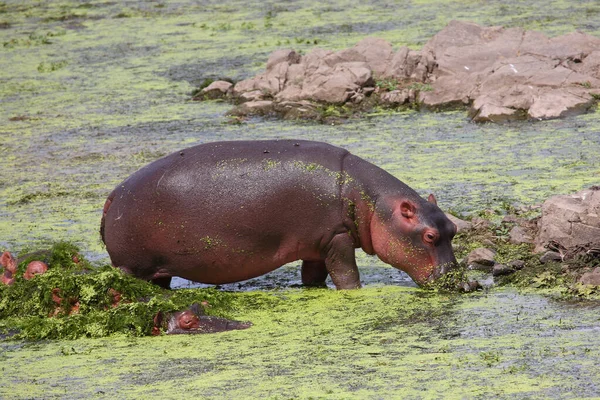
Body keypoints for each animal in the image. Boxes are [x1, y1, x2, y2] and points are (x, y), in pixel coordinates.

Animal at [102, 141, 460, 290]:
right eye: (430, 236)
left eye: (452, 228)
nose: (460, 281)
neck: (372, 202)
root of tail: (111, 197)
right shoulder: (338, 237)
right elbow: (347, 275)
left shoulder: (317, 245)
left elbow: (313, 277)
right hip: (132, 267)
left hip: (158, 270)